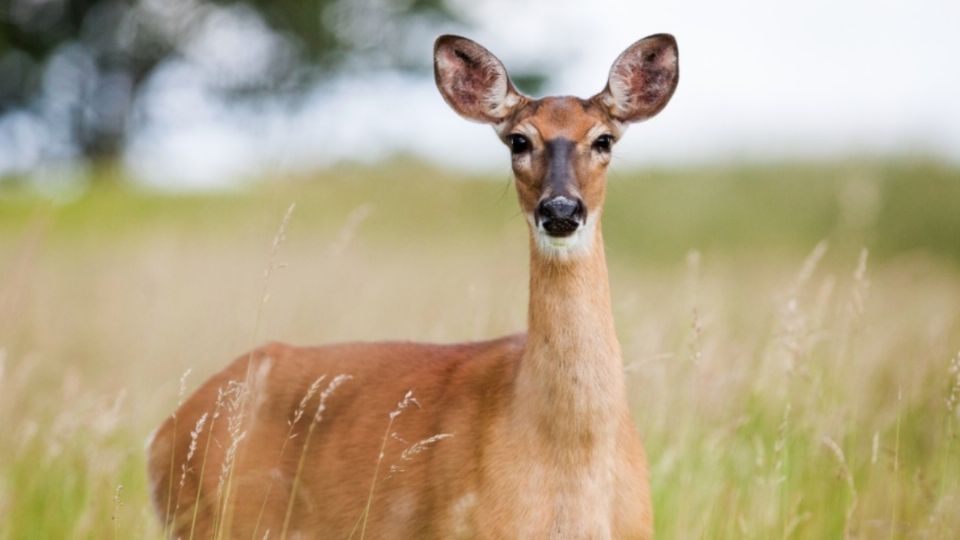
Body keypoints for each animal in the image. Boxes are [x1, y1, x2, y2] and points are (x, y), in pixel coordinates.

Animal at [146, 33, 680, 540]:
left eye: (604, 139)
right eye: (518, 141)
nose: (561, 210)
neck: (570, 460)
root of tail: (164, 435)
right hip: (208, 518)